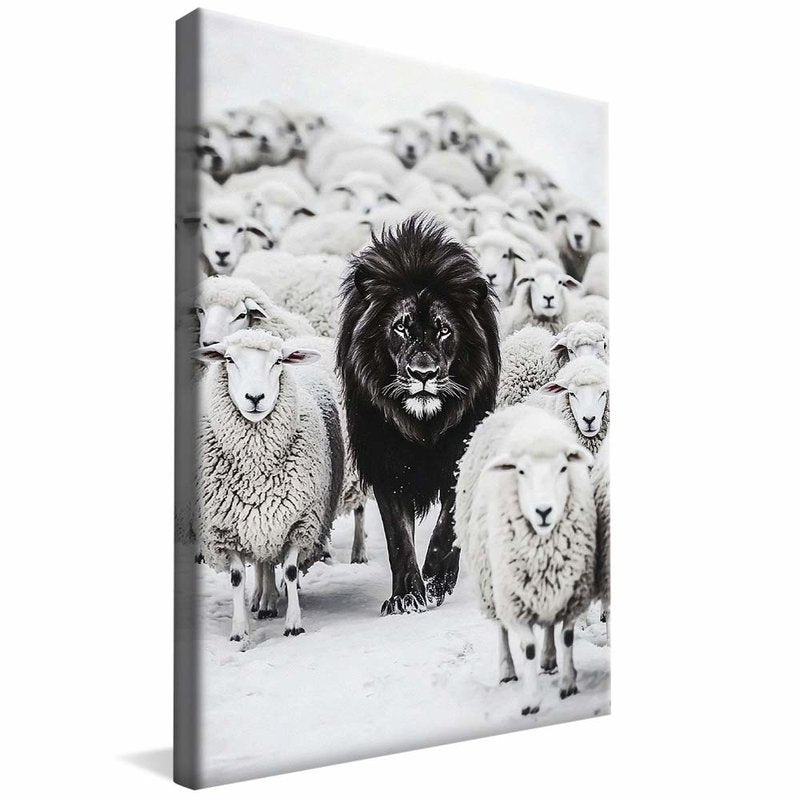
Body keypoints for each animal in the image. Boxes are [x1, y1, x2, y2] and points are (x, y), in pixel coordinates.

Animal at [336, 215, 501, 614]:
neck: (423, 425)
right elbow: (399, 539)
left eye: (443, 330)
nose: (422, 374)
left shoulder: (460, 455)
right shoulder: (388, 465)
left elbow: (448, 524)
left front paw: (438, 579)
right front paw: (407, 595)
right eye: (401, 327)